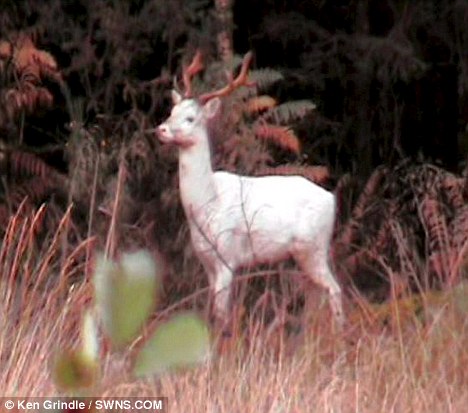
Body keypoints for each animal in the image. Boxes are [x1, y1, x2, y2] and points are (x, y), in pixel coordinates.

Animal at [156, 51, 344, 331]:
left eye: (190, 119)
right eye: (172, 111)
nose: (161, 129)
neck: (207, 203)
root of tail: (331, 199)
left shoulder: (227, 256)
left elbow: (222, 315)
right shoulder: (207, 261)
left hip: (314, 246)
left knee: (334, 289)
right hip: (303, 253)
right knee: (315, 295)